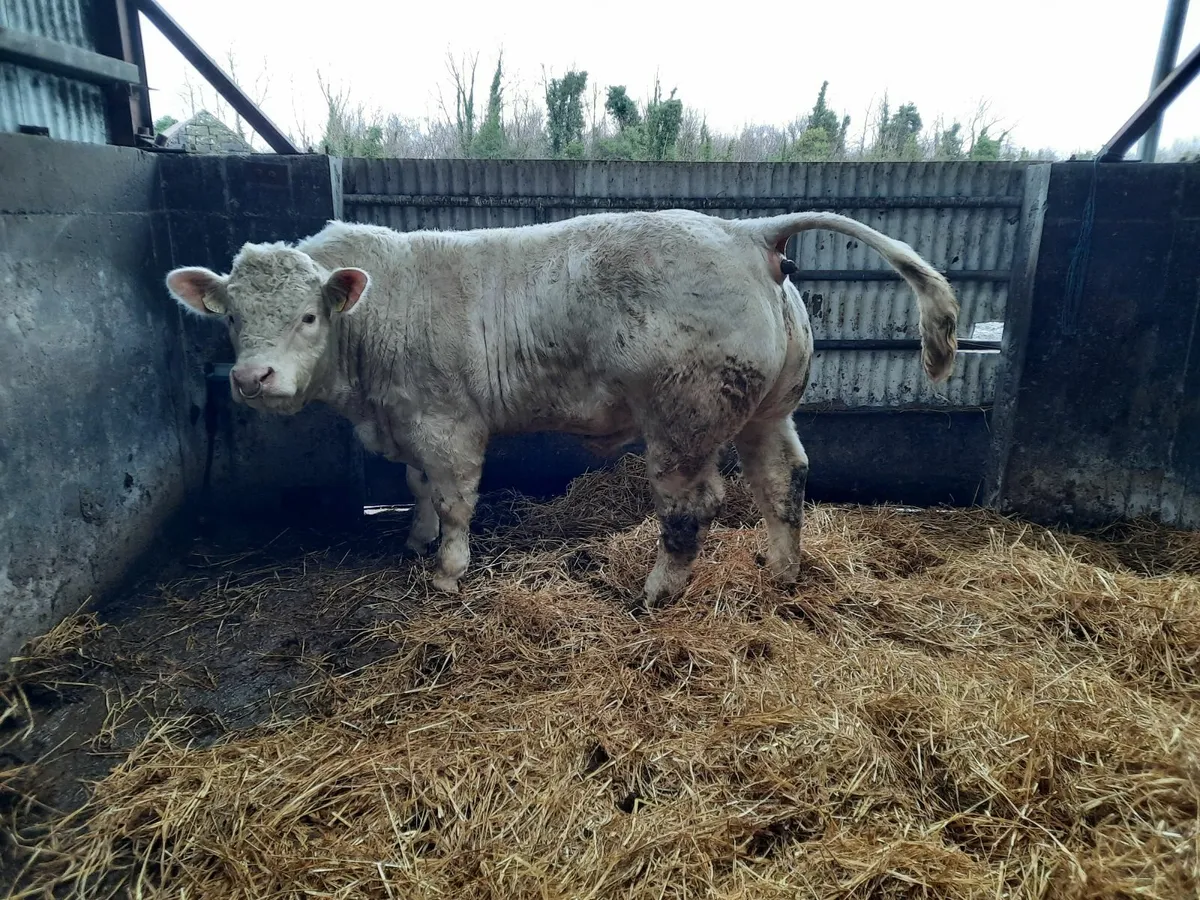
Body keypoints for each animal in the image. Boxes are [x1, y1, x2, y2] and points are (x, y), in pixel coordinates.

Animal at [165, 210, 958, 608]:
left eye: (307, 316)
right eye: (231, 317)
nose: (252, 377)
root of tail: (745, 231)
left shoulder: (447, 421)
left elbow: (454, 496)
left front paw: (448, 568)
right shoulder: (408, 421)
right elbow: (417, 487)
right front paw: (415, 541)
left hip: (681, 419)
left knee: (692, 503)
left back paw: (656, 591)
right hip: (769, 408)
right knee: (782, 479)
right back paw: (781, 570)